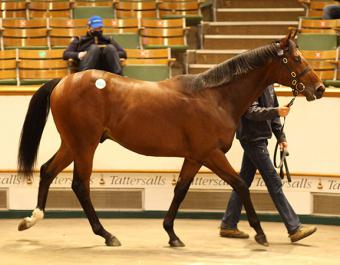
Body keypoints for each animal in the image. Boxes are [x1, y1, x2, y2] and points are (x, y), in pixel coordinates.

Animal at [17, 31, 324, 248]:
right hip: (85, 146)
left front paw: (172, 234)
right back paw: (106, 234)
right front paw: (259, 232)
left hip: (73, 144)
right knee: (80, 185)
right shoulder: (210, 153)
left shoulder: (194, 156)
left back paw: (31, 219)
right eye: (296, 58)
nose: (320, 88)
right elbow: (239, 184)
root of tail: (63, 81)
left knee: (47, 170)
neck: (215, 97)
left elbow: (181, 190)